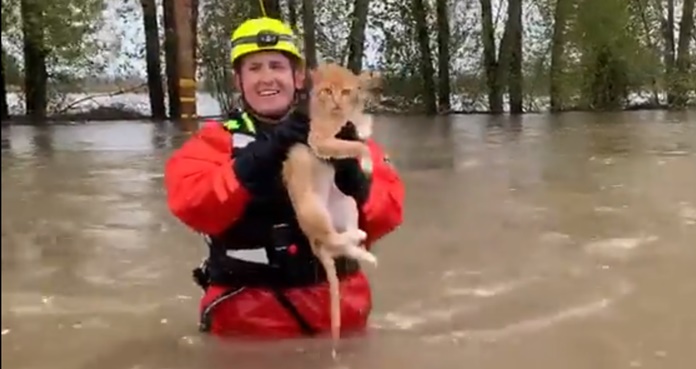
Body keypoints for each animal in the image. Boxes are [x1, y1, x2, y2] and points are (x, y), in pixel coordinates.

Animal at [280, 62, 380, 354]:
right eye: (326, 91)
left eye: (345, 92)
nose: (336, 101)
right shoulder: (320, 139)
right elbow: (355, 144)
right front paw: (366, 162)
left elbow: (359, 132)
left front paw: (362, 126)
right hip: (314, 210)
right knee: (333, 239)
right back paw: (357, 238)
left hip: (347, 203)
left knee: (341, 244)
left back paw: (363, 248)